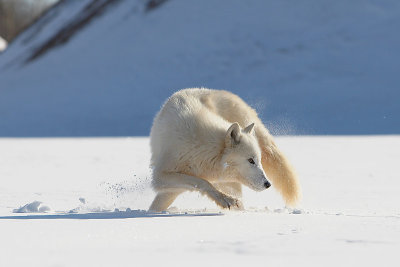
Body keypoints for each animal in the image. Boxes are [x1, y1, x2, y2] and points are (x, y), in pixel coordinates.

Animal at [149, 88, 300, 211]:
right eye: (251, 160)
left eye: (259, 160)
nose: (267, 184)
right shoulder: (161, 176)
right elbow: (202, 182)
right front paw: (226, 200)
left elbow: (201, 182)